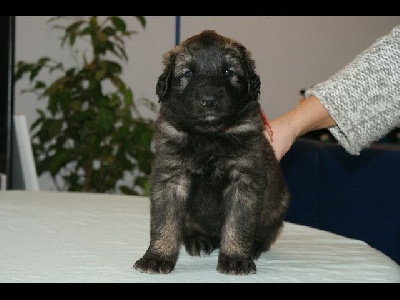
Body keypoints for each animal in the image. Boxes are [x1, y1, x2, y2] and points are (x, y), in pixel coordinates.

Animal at [135, 29, 290, 274]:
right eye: (188, 73)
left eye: (228, 71)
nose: (209, 100)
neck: (208, 136)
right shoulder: (170, 178)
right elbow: (164, 222)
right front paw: (157, 257)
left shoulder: (243, 181)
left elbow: (238, 223)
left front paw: (235, 257)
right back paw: (199, 240)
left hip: (277, 207)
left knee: (265, 234)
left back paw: (254, 246)